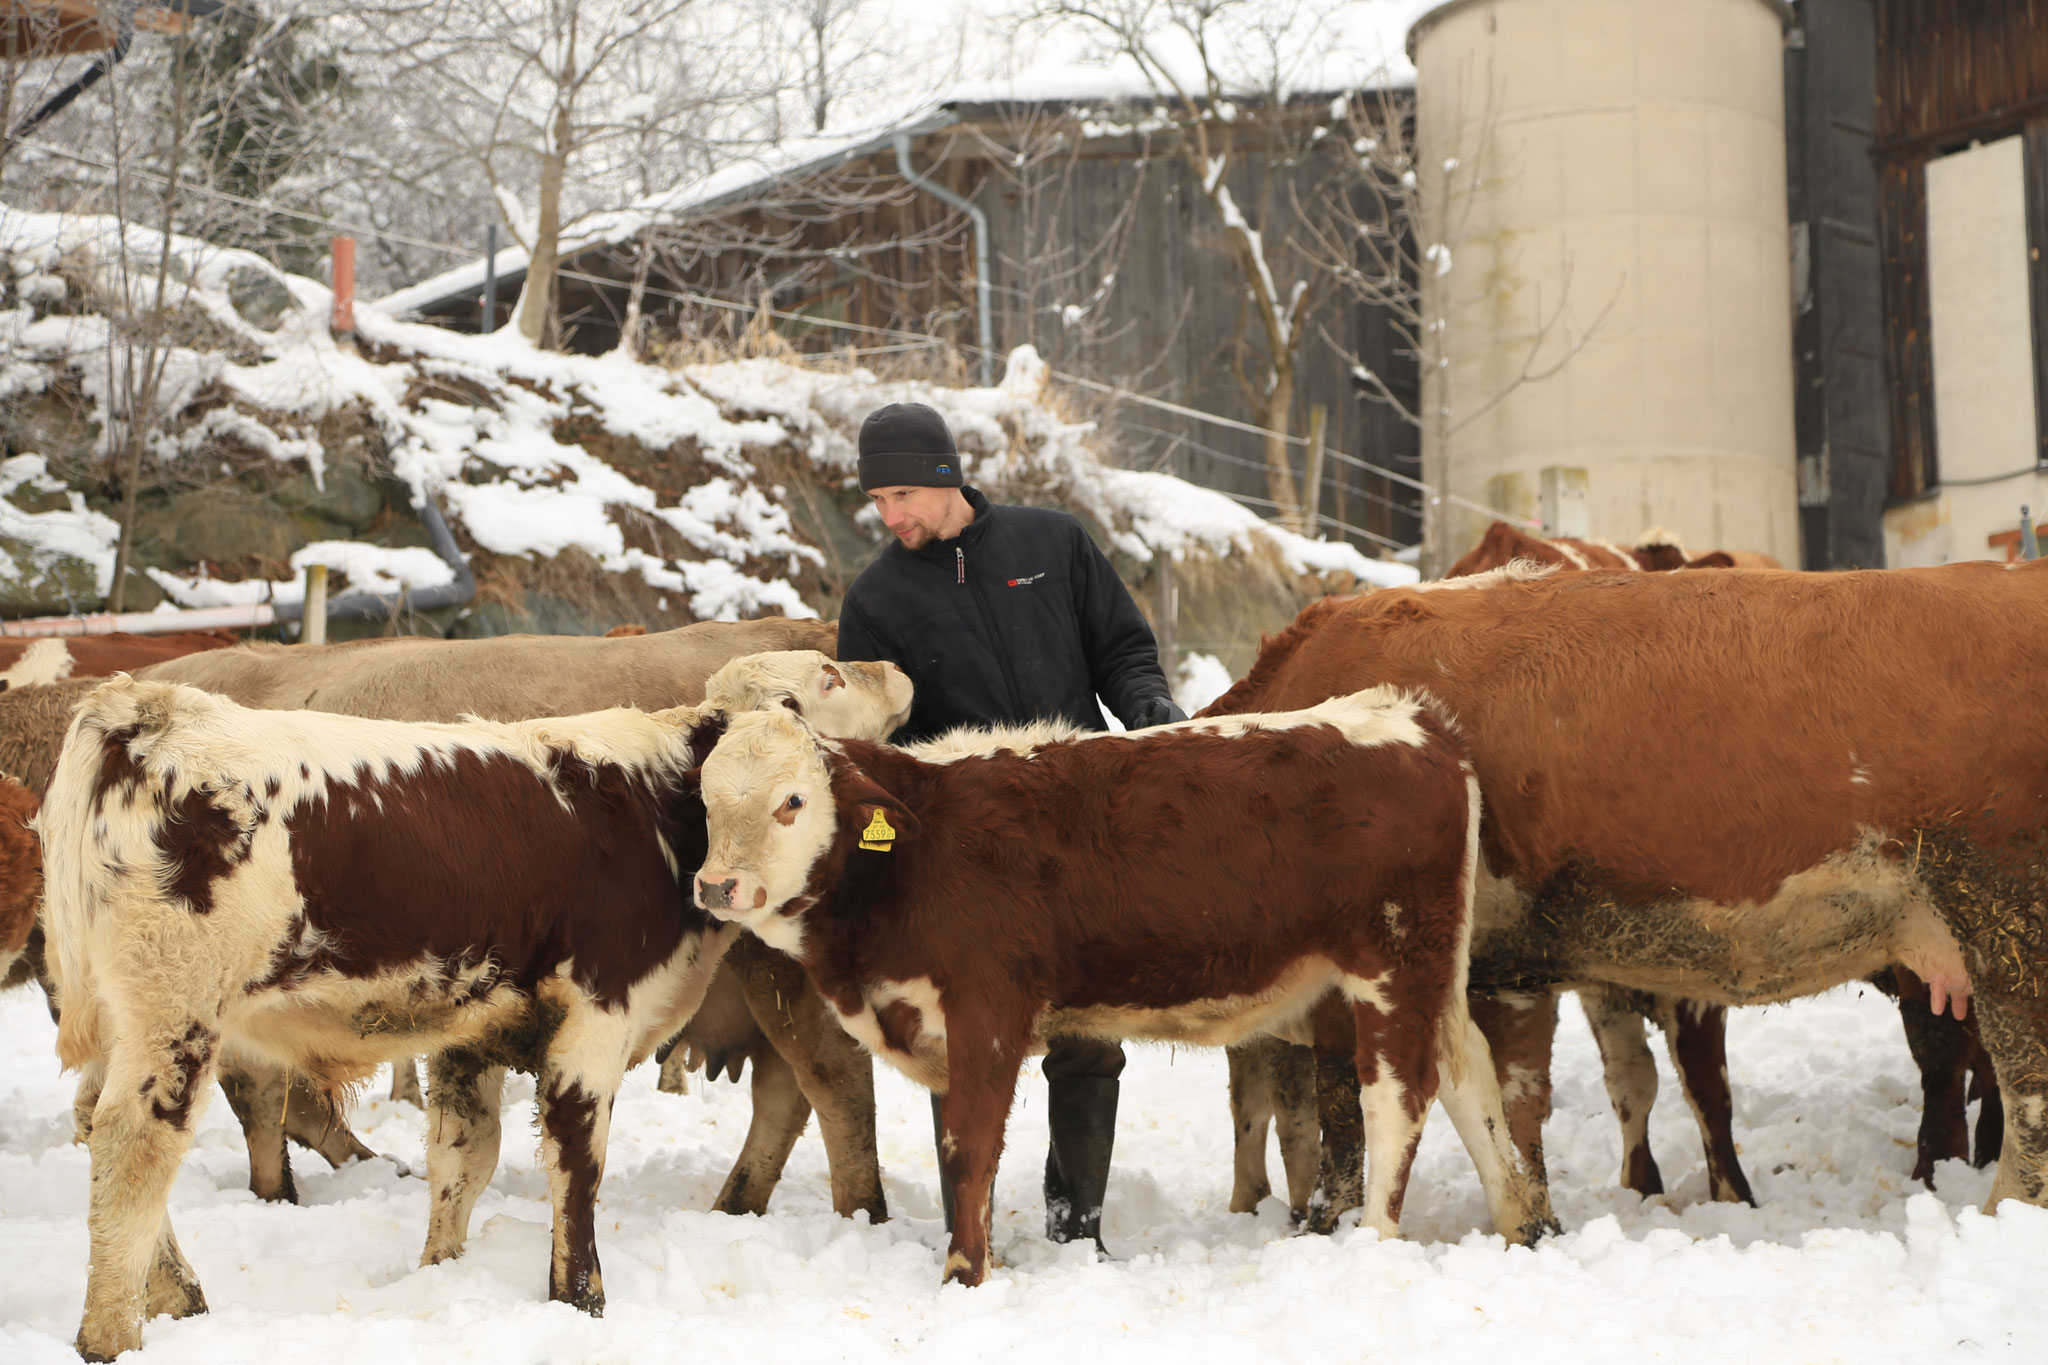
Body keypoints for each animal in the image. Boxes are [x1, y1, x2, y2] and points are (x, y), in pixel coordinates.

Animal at [34, 658, 905, 1358]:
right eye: (831, 673)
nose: (897, 676)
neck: (650, 810)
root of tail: (146, 706)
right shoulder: (596, 1014)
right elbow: (577, 1160)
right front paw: (579, 1297)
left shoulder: (470, 1031)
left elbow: (463, 1158)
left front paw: (439, 1273)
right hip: (175, 1013)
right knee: (134, 1146)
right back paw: (112, 1331)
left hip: (127, 1022)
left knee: (100, 1129)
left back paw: (176, 1294)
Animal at [696, 699, 1556, 1285]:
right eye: (705, 800)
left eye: (792, 800)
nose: (716, 886)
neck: (917, 850)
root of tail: (1409, 718)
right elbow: (959, 1154)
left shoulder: (988, 1009)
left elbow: (971, 1146)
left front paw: (965, 1274)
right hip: (1417, 974)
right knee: (1469, 1078)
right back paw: (1517, 1220)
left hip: (1393, 963)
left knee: (1396, 1097)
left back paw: (1374, 1239)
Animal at [1204, 560, 2048, 1219]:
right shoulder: (1511, 967)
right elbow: (1517, 1101)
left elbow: (1348, 1111)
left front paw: (1331, 1220)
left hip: (2005, 920)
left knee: (2025, 1087)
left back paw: (2000, 1209)